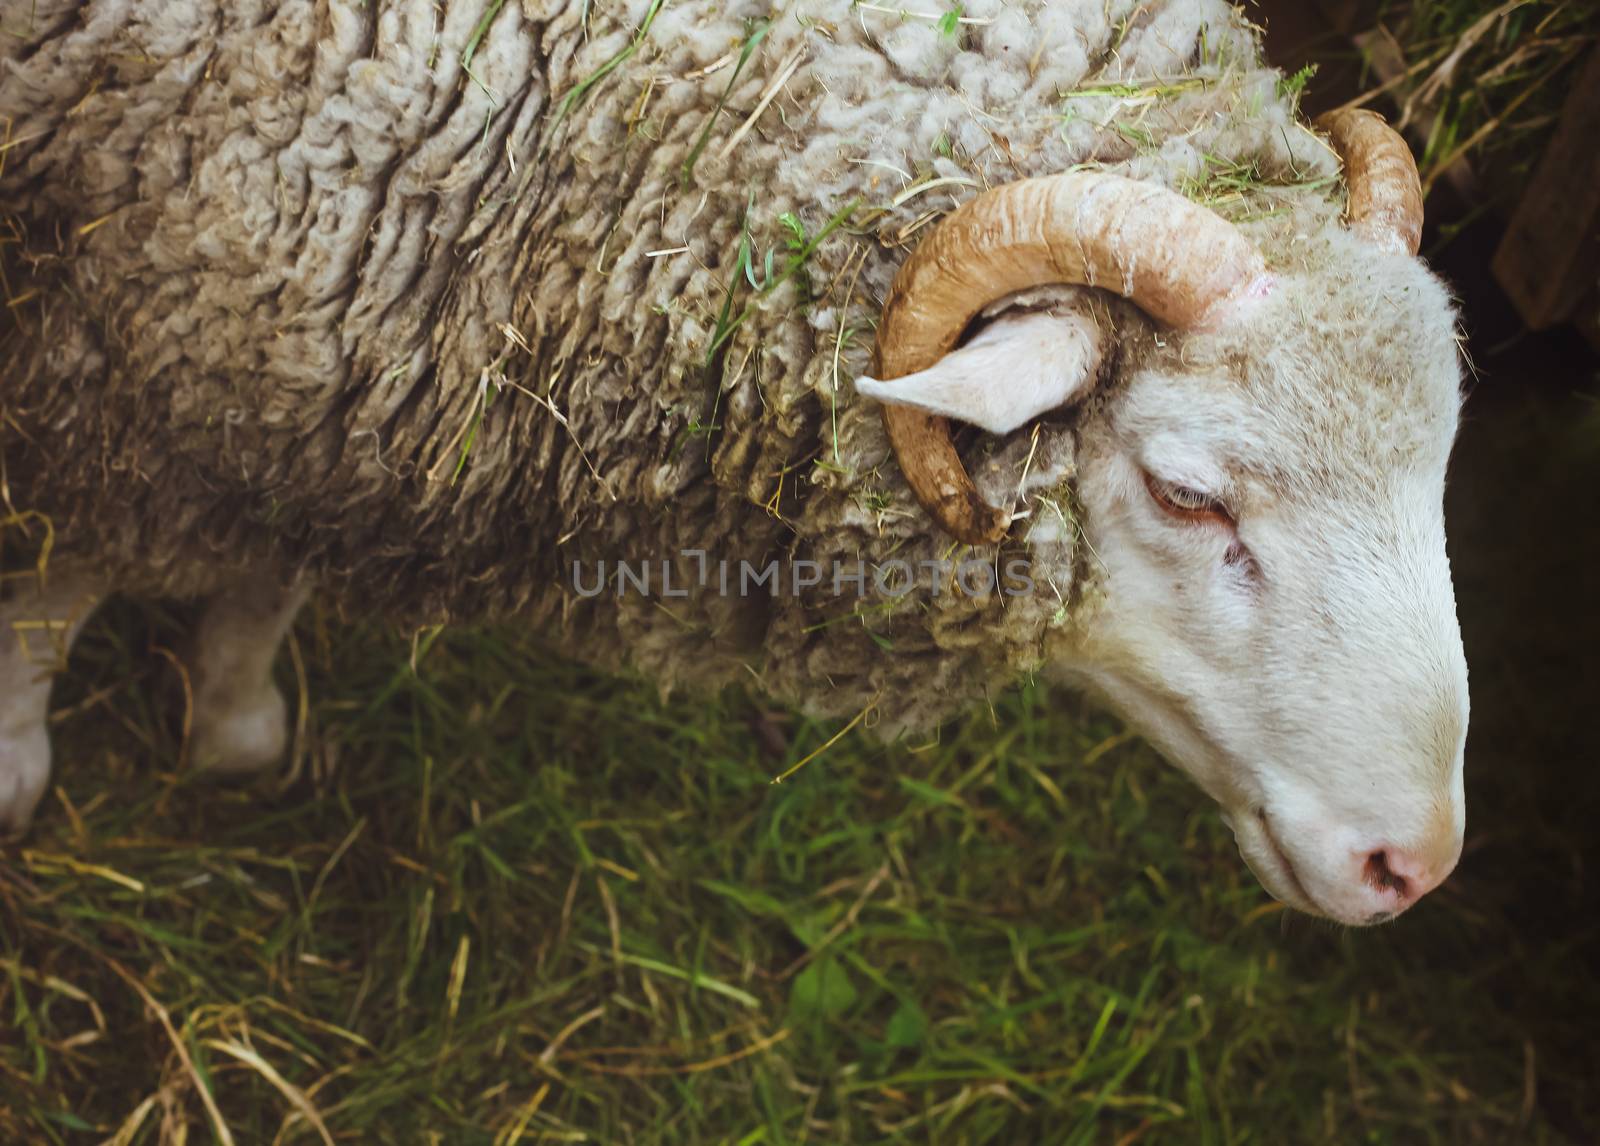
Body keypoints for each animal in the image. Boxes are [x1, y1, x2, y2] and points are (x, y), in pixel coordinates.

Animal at [3, 2, 1472, 928]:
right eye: (1185, 494)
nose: (1414, 864)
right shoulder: (109, 373)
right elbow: (54, 592)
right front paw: (19, 768)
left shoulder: (320, 373)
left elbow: (271, 572)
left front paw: (236, 723)